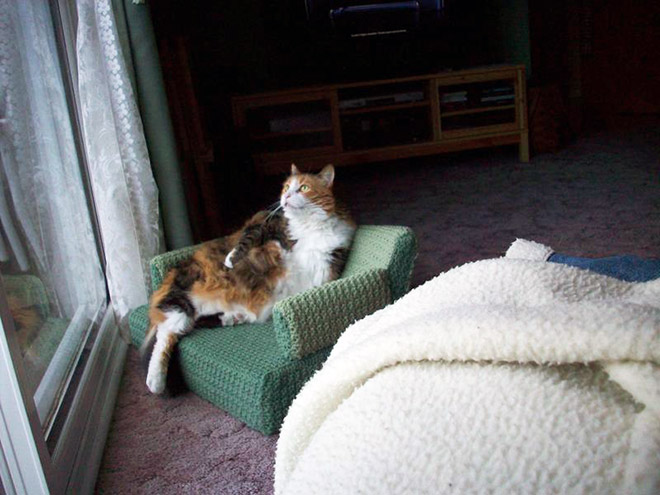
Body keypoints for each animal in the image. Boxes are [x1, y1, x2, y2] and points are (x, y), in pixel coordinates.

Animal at [142, 165, 354, 394]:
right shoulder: (263, 221)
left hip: (195, 311)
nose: (286, 197)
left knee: (182, 326)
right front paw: (233, 260)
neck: (307, 225)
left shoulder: (326, 266)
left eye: (304, 188)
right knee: (164, 334)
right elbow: (249, 241)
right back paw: (155, 381)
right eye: (286, 187)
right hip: (181, 300)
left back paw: (233, 317)